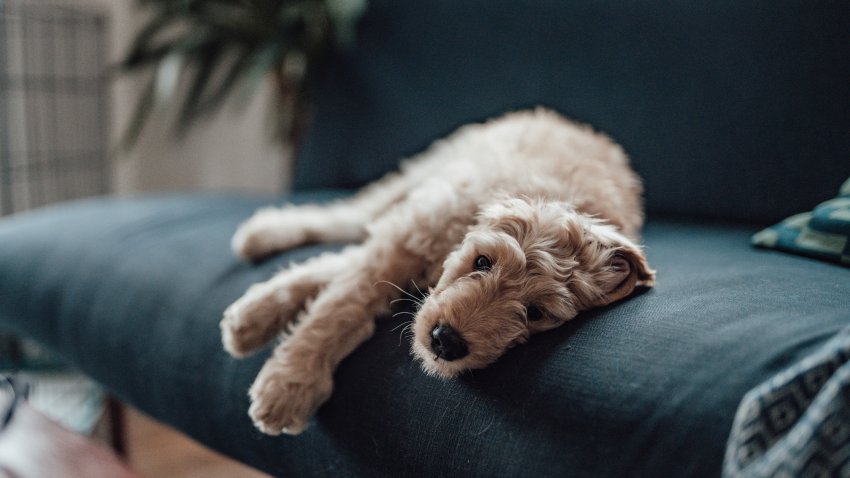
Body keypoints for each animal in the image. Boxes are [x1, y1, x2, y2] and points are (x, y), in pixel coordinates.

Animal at [220, 107, 656, 434]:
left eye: (535, 313)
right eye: (482, 261)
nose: (446, 342)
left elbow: (343, 274)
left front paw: (258, 321)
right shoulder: (413, 231)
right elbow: (341, 304)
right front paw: (290, 384)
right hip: (426, 172)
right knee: (354, 215)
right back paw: (264, 233)